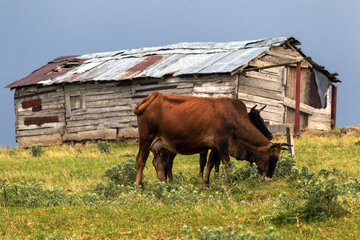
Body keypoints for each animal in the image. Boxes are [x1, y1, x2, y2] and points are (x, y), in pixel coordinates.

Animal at [134, 91, 290, 187]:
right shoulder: (222, 143)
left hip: (161, 146)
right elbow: (226, 163)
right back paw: (139, 185)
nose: (269, 178)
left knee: (159, 163)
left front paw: (206, 184)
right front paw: (230, 183)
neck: (233, 118)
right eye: (273, 158)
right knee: (141, 160)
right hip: (146, 139)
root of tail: (153, 97)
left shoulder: (215, 147)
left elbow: (210, 164)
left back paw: (164, 184)